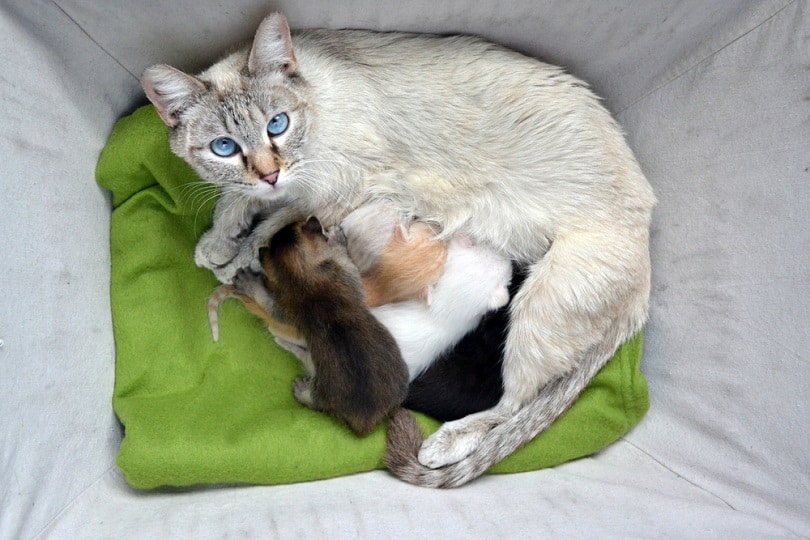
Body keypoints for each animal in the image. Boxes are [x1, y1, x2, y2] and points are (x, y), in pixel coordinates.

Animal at [140, 12, 656, 488]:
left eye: (277, 125)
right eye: (224, 148)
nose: (269, 171)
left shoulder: (343, 191)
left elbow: (272, 225)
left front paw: (235, 257)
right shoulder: (299, 189)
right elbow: (243, 200)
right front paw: (216, 242)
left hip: (536, 313)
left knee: (512, 404)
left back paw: (443, 444)